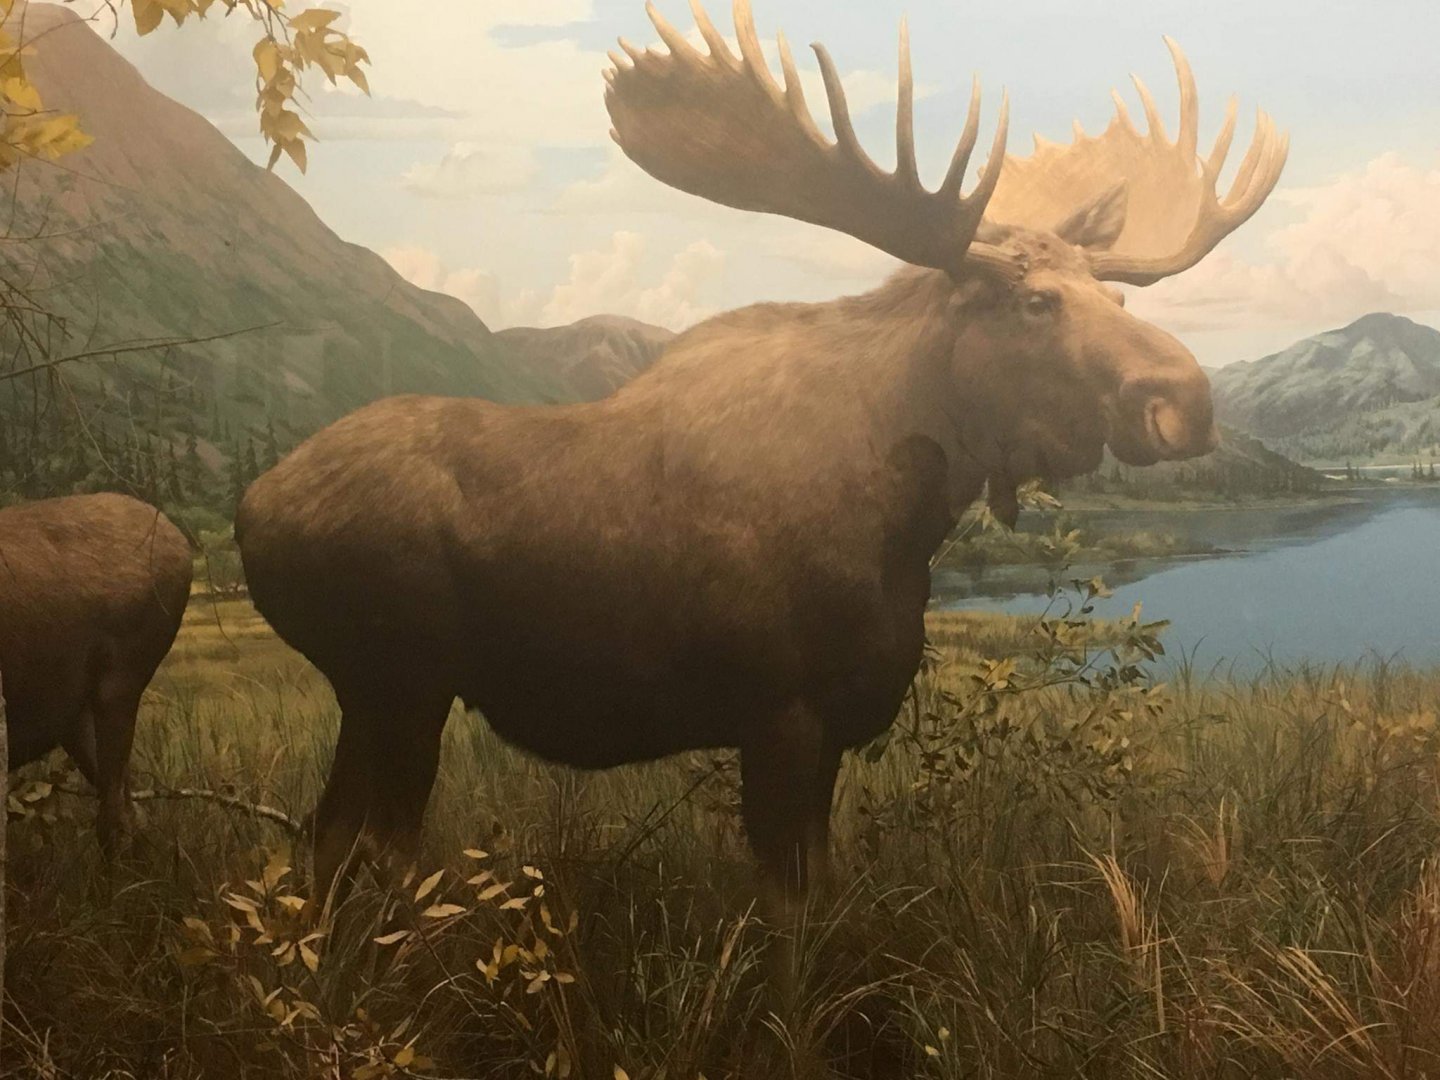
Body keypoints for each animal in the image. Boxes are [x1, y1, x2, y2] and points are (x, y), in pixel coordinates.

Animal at [235, 0, 1286, 913]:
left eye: (1117, 298)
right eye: (1036, 303)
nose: (1185, 401)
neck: (906, 515)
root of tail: (253, 509)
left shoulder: (838, 722)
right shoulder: (780, 712)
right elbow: (792, 922)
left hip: (385, 695)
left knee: (328, 844)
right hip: (395, 680)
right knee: (362, 850)